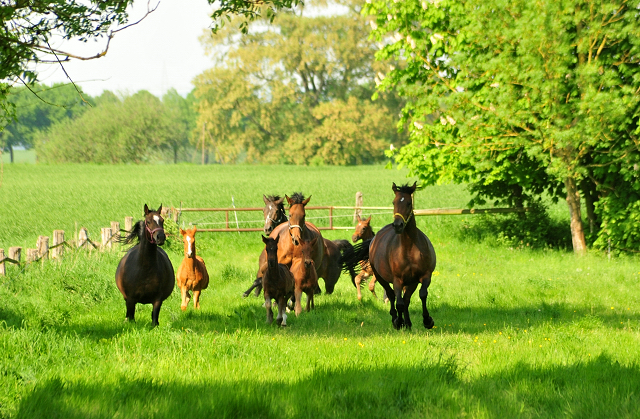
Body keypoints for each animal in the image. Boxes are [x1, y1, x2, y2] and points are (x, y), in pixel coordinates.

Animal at [344, 184, 436, 332]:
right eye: (394, 202)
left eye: (409, 203)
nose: (398, 225)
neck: (409, 248)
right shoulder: (395, 279)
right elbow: (398, 301)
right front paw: (399, 321)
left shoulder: (424, 276)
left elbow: (422, 294)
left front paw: (427, 321)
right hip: (382, 277)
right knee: (393, 295)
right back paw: (396, 319)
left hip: (409, 282)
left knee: (405, 298)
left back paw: (407, 322)